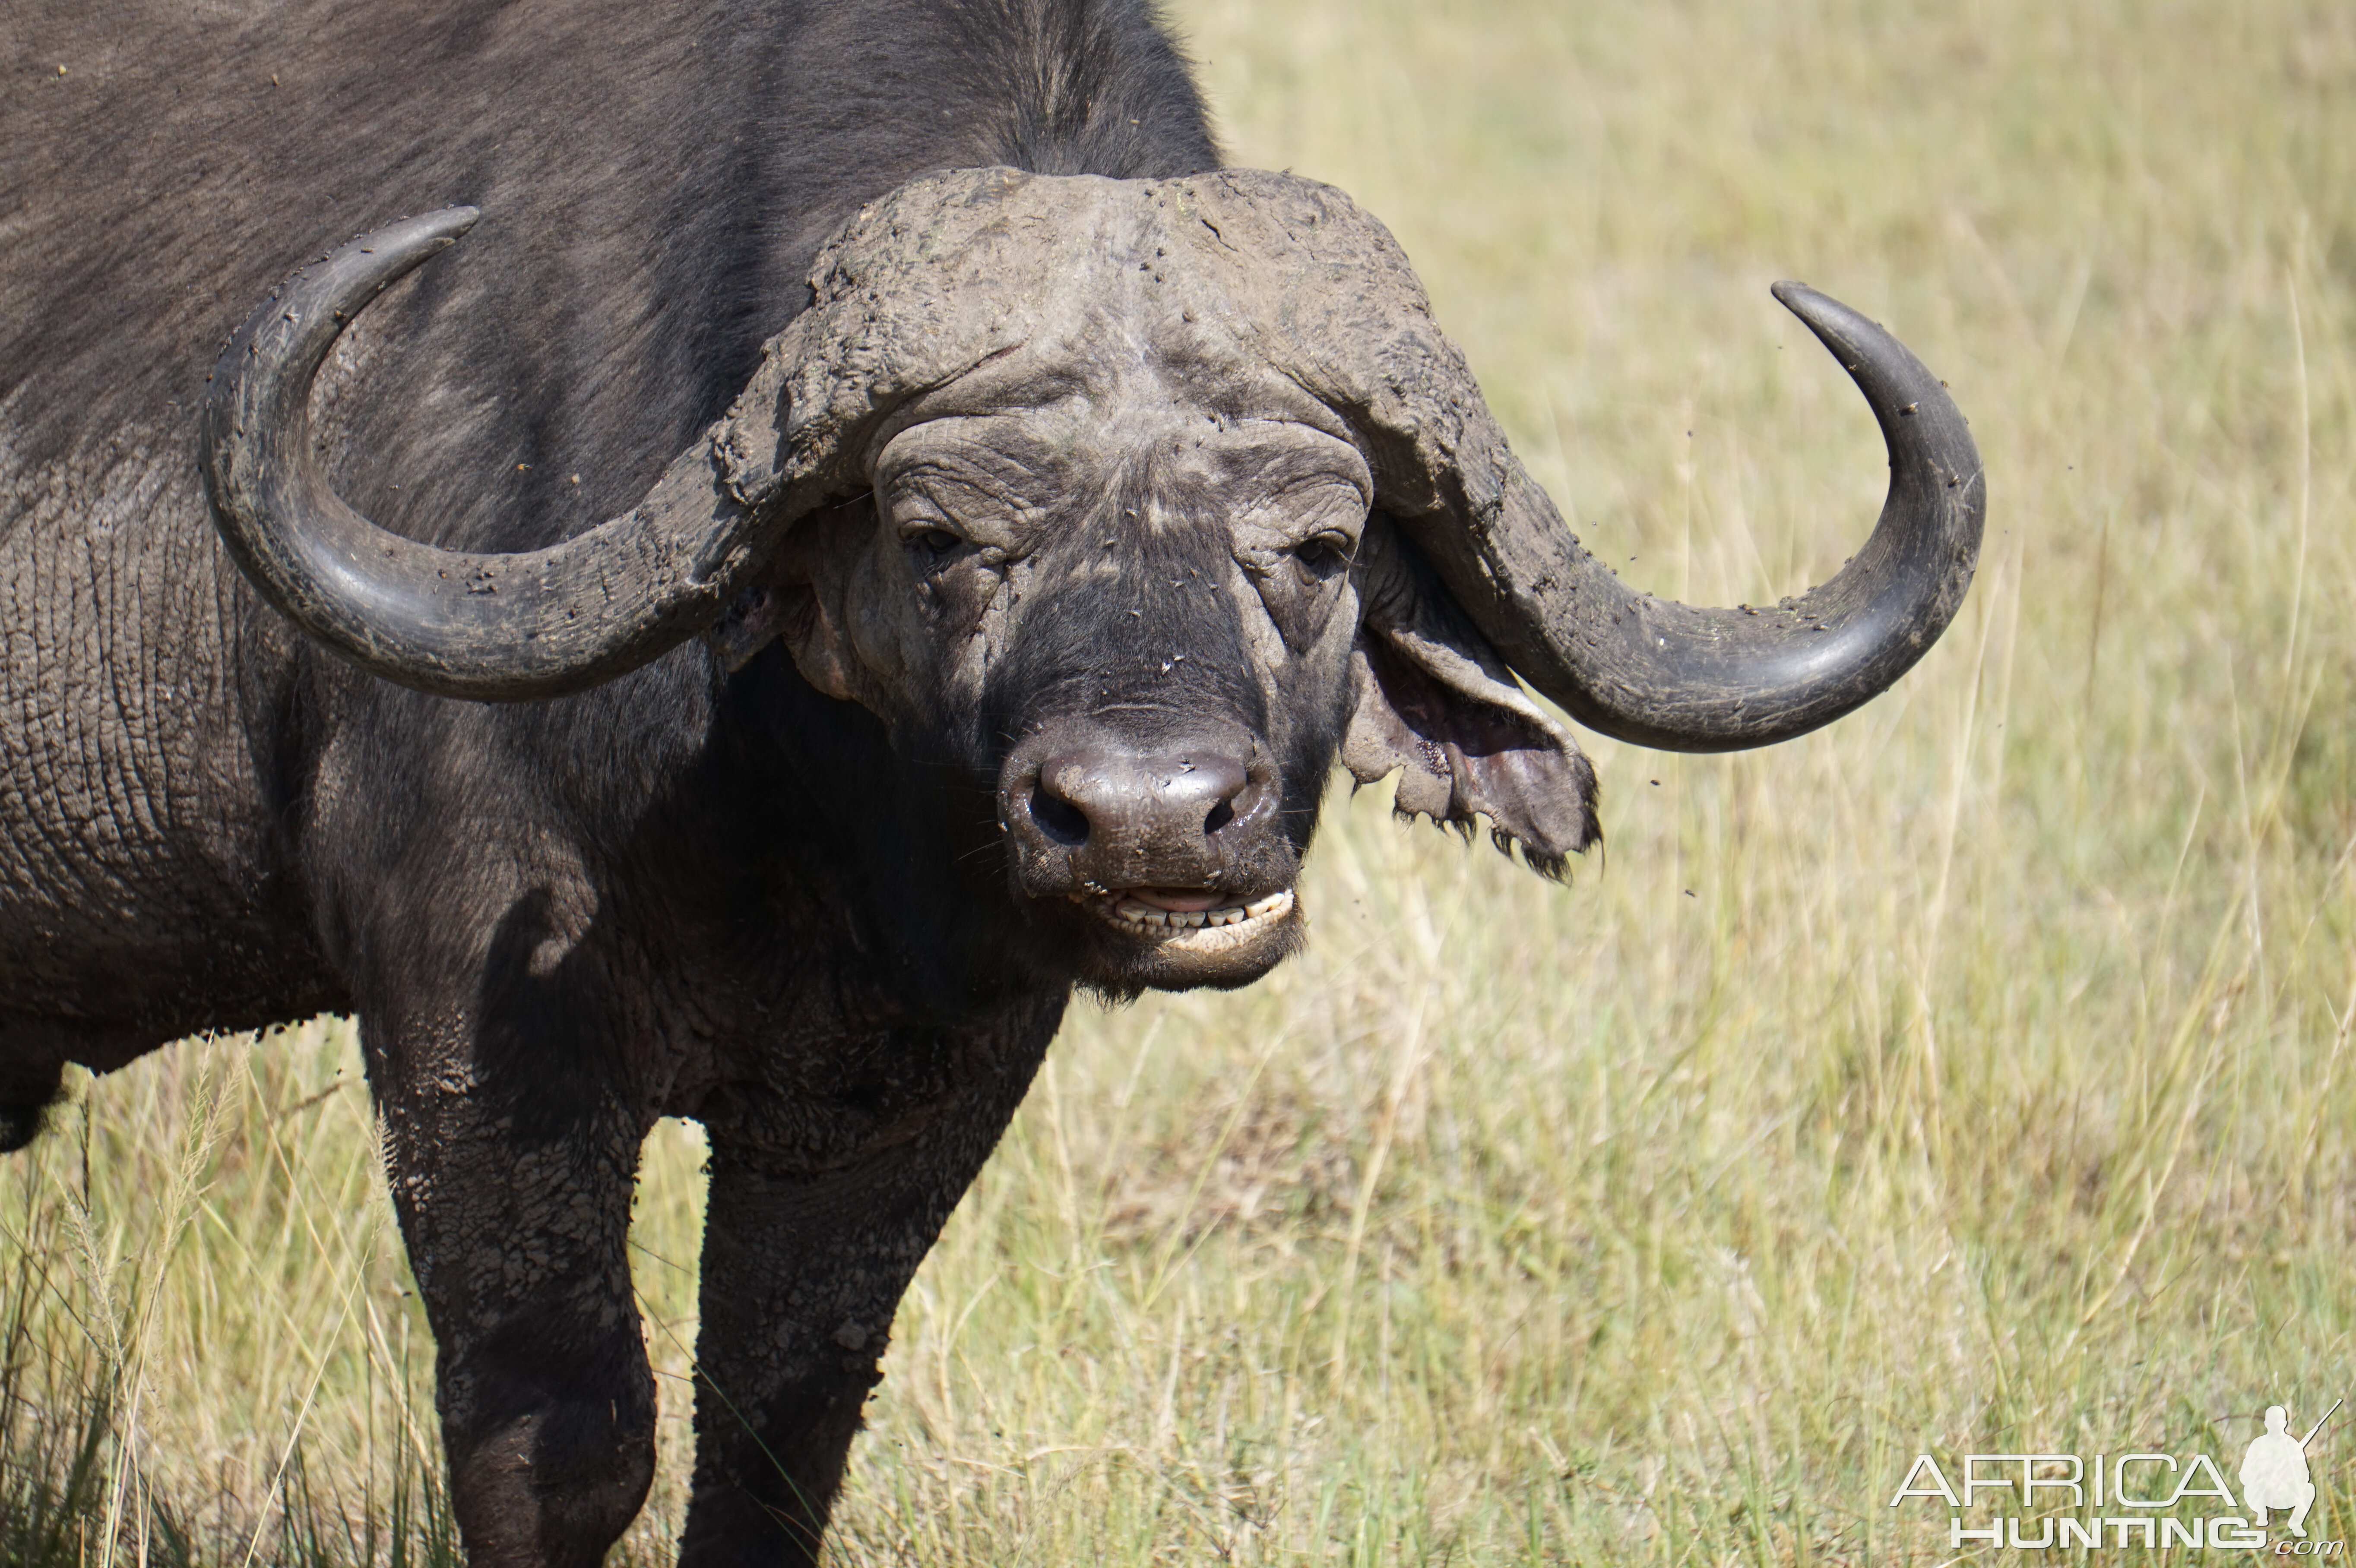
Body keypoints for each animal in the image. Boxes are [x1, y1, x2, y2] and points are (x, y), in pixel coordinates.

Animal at [9, 0, 1979, 1554]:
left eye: (1322, 543)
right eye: (938, 535)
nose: (1147, 819)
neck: (795, 832)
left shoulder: (903, 1100)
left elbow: (773, 1439)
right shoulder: (468, 1033)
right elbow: (564, 1447)